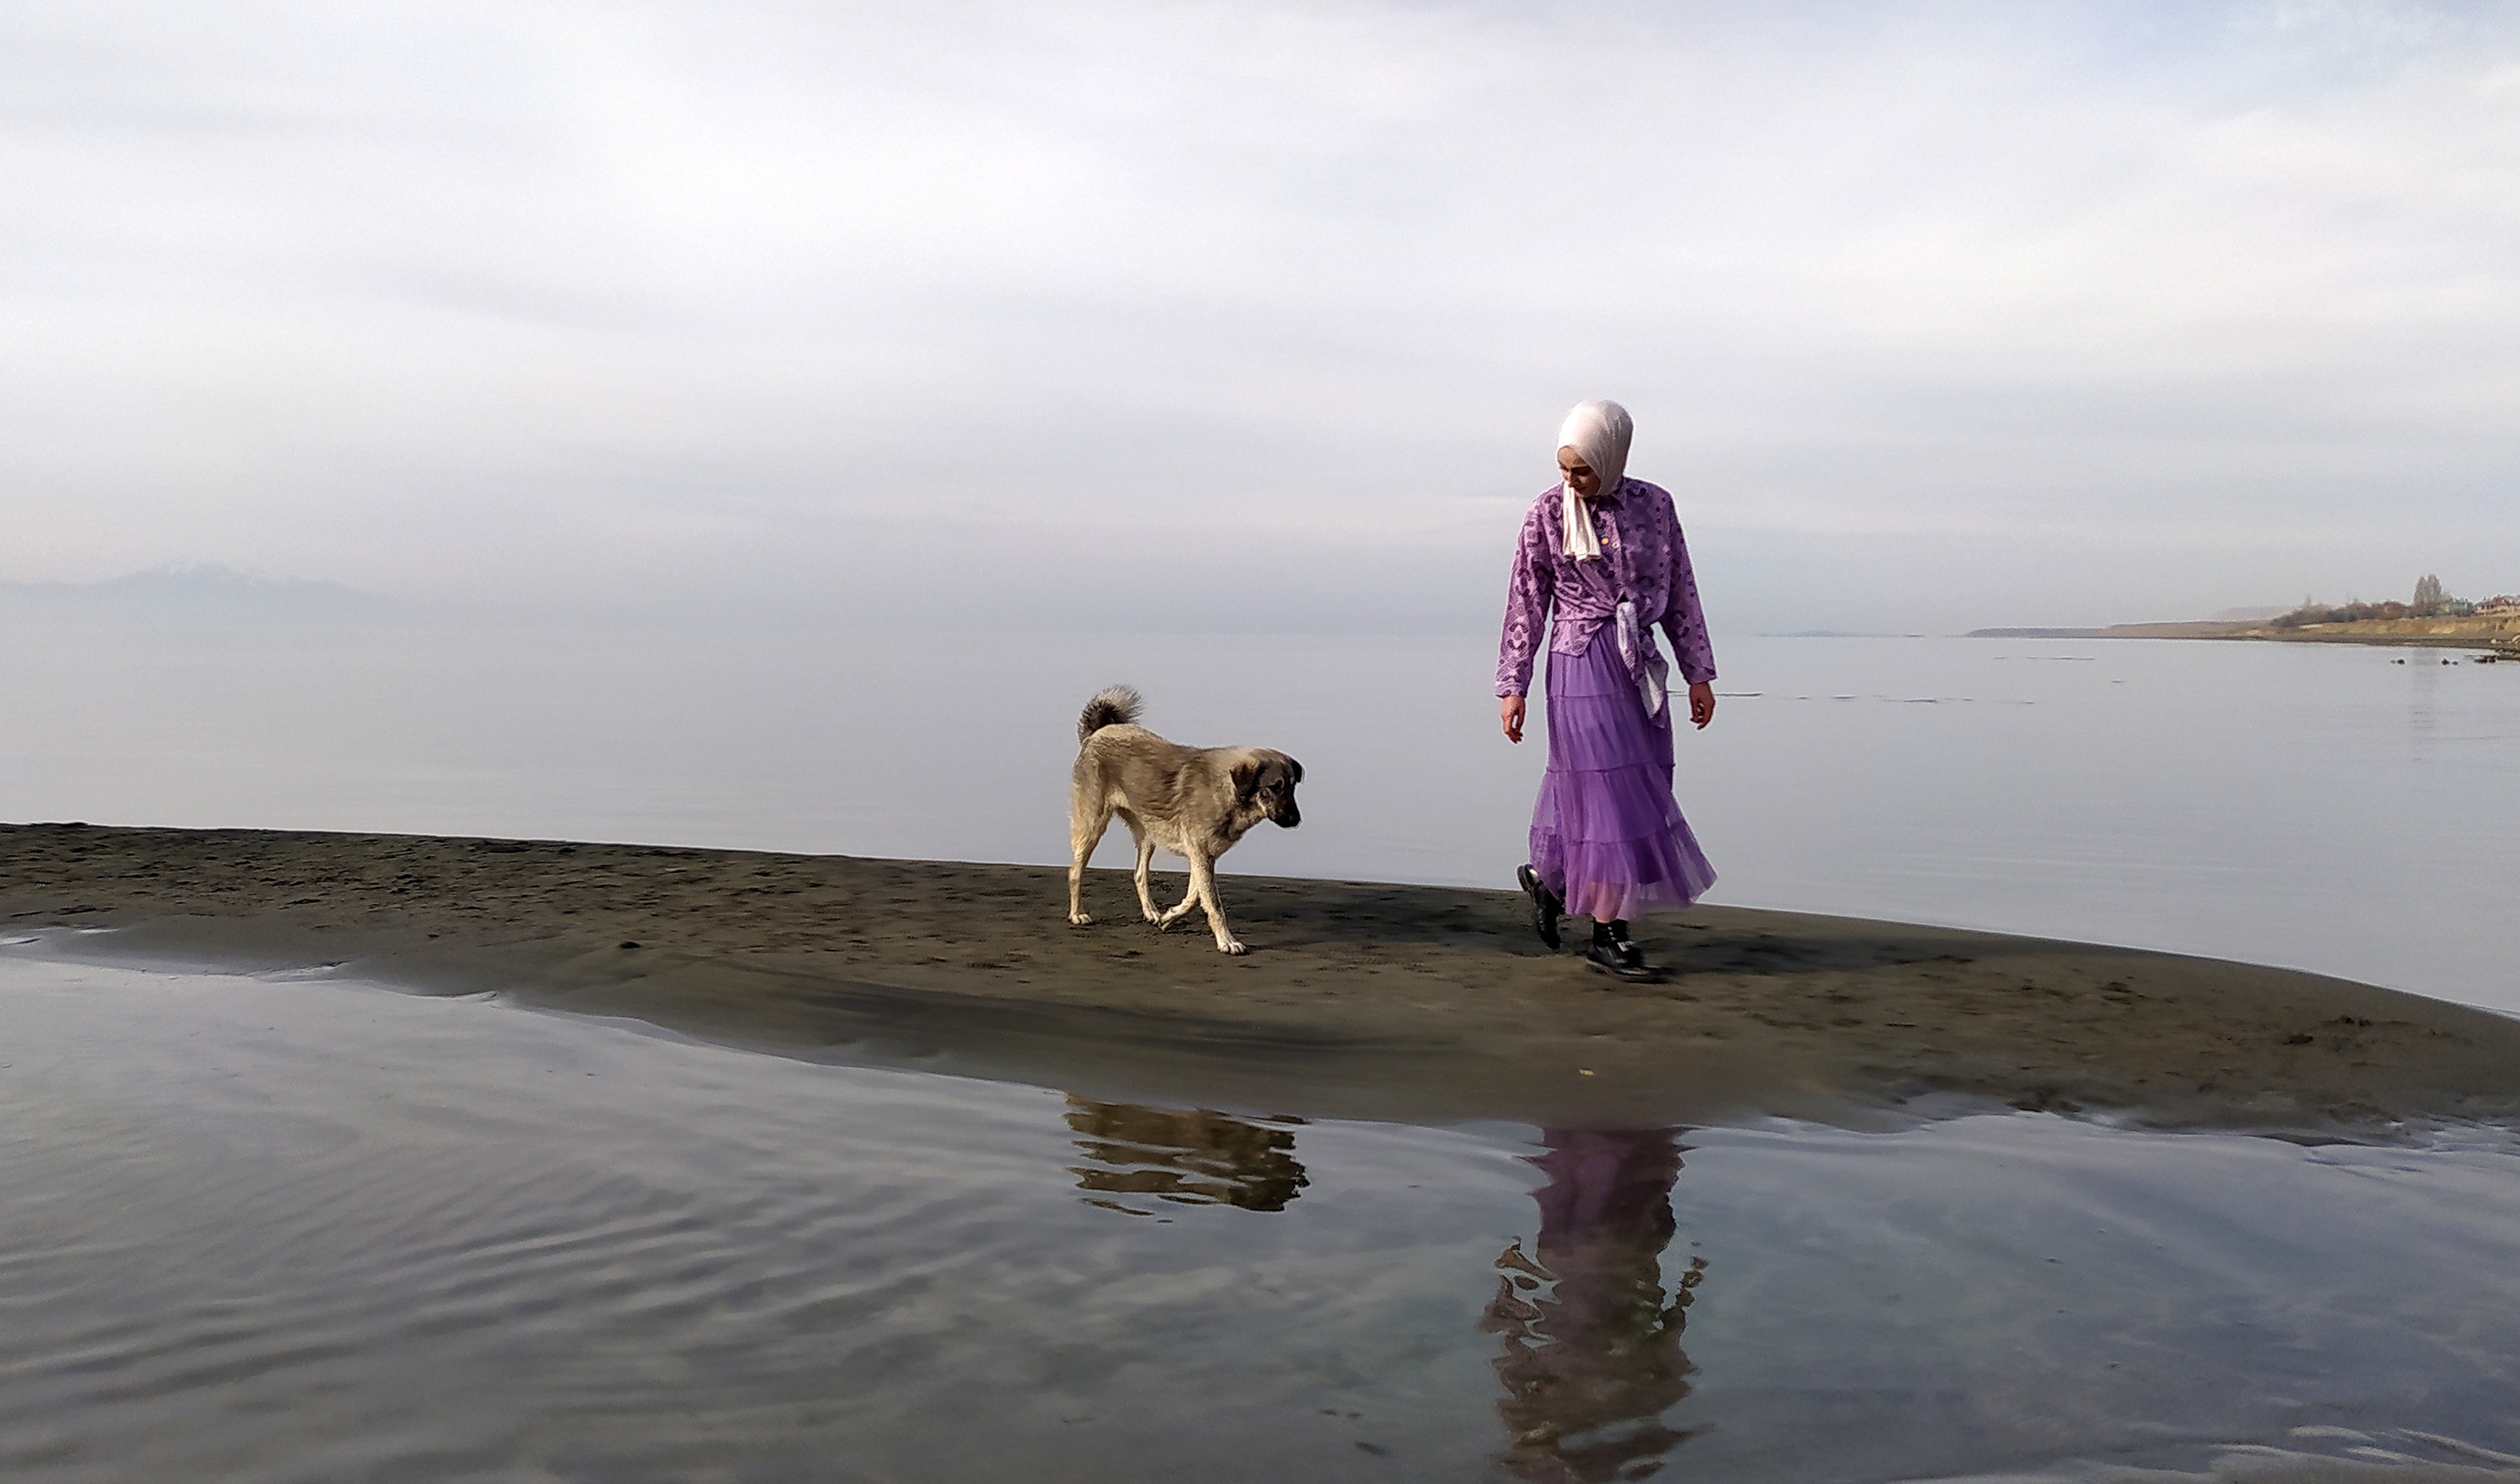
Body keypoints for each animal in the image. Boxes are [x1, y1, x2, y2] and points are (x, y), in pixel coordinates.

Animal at [1063, 690, 1300, 952]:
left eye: (1293, 787)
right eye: (1274, 787)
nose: (1296, 820)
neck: (1226, 790)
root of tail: (1097, 733)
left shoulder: (1203, 857)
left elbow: (1195, 898)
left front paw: (1169, 918)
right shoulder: (1201, 855)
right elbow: (1214, 904)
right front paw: (1227, 941)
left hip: (1148, 834)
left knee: (1139, 875)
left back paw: (1152, 912)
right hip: (1092, 826)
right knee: (1075, 871)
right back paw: (1077, 914)